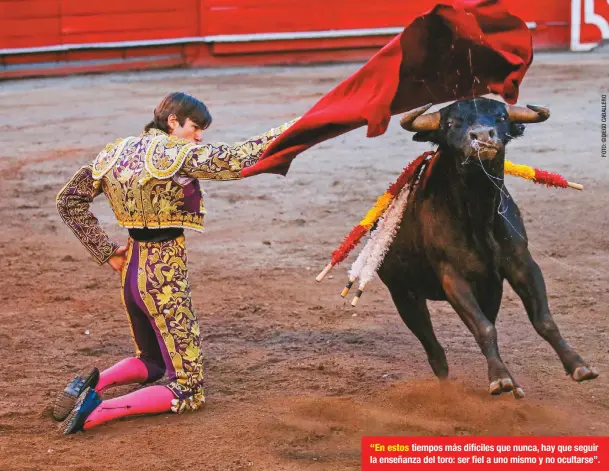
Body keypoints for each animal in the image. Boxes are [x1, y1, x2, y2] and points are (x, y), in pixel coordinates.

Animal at [378, 97, 596, 398]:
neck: (479, 212)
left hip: (489, 291)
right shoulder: (452, 277)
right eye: (450, 123)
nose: (482, 137)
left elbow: (544, 320)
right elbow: (484, 328)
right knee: (434, 348)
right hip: (403, 294)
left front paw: (578, 365)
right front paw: (501, 379)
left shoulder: (522, 265)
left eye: (501, 117)